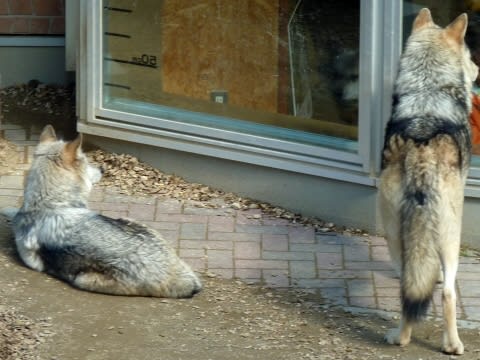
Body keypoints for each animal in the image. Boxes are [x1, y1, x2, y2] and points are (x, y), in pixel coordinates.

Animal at [378, 7, 476, 354]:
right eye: (469, 55)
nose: (478, 71)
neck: (427, 91)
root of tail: (420, 154)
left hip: (395, 232)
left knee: (409, 287)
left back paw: (403, 336)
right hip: (450, 238)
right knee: (447, 293)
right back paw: (449, 344)